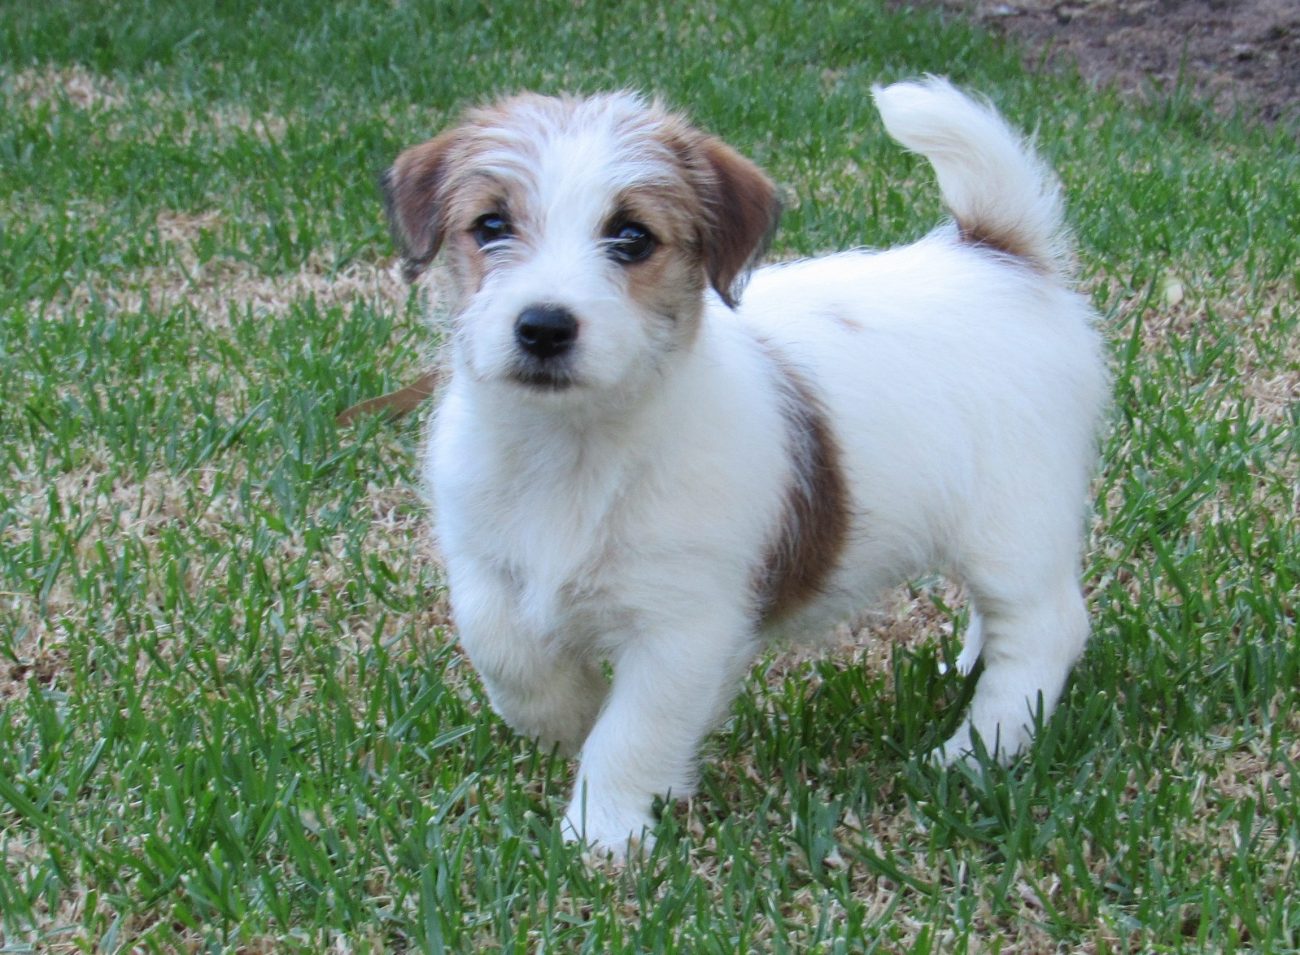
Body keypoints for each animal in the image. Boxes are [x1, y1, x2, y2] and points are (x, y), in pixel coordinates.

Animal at [382, 80, 1107, 857]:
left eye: (632, 237)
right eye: (490, 225)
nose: (544, 326)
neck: (573, 446)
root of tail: (1000, 255)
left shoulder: (685, 626)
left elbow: (633, 730)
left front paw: (603, 831)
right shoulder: (484, 560)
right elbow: (501, 646)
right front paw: (562, 716)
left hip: (1014, 519)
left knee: (1043, 627)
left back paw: (978, 749)